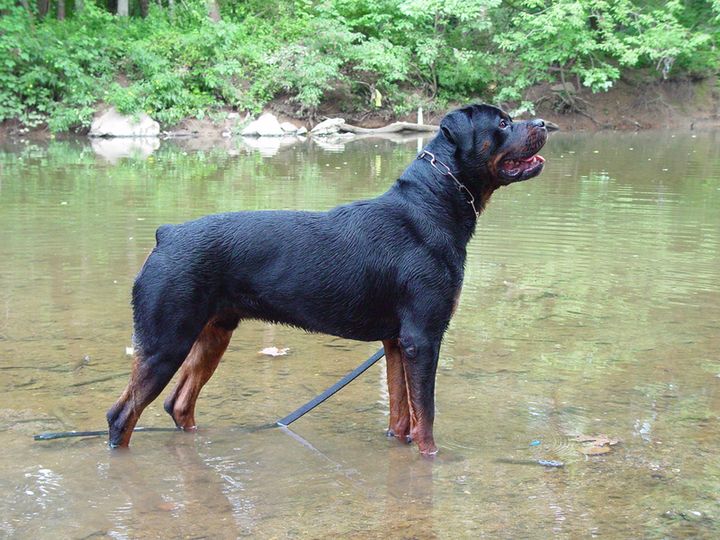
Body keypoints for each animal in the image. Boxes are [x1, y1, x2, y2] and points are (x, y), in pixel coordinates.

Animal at [105, 103, 544, 454]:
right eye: (503, 122)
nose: (543, 122)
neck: (432, 204)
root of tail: (167, 234)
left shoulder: (396, 342)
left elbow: (402, 412)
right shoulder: (422, 337)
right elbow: (427, 415)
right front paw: (432, 456)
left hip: (213, 334)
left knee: (178, 403)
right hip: (165, 342)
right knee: (121, 415)